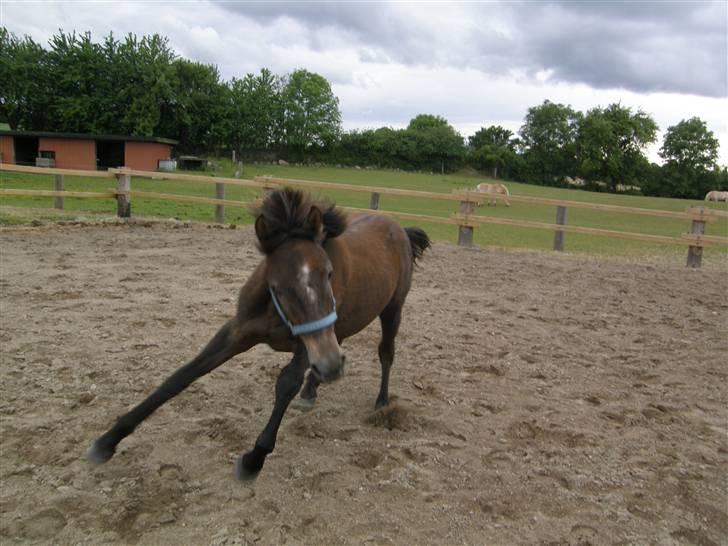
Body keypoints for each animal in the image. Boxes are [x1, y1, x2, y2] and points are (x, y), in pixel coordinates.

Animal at [87, 189, 430, 478]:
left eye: (329, 273)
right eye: (276, 284)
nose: (331, 365)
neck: (274, 310)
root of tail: (399, 228)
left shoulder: (307, 344)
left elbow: (286, 384)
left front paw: (254, 458)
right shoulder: (237, 332)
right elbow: (182, 375)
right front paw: (108, 440)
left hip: (391, 310)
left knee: (385, 353)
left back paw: (380, 401)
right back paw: (313, 390)